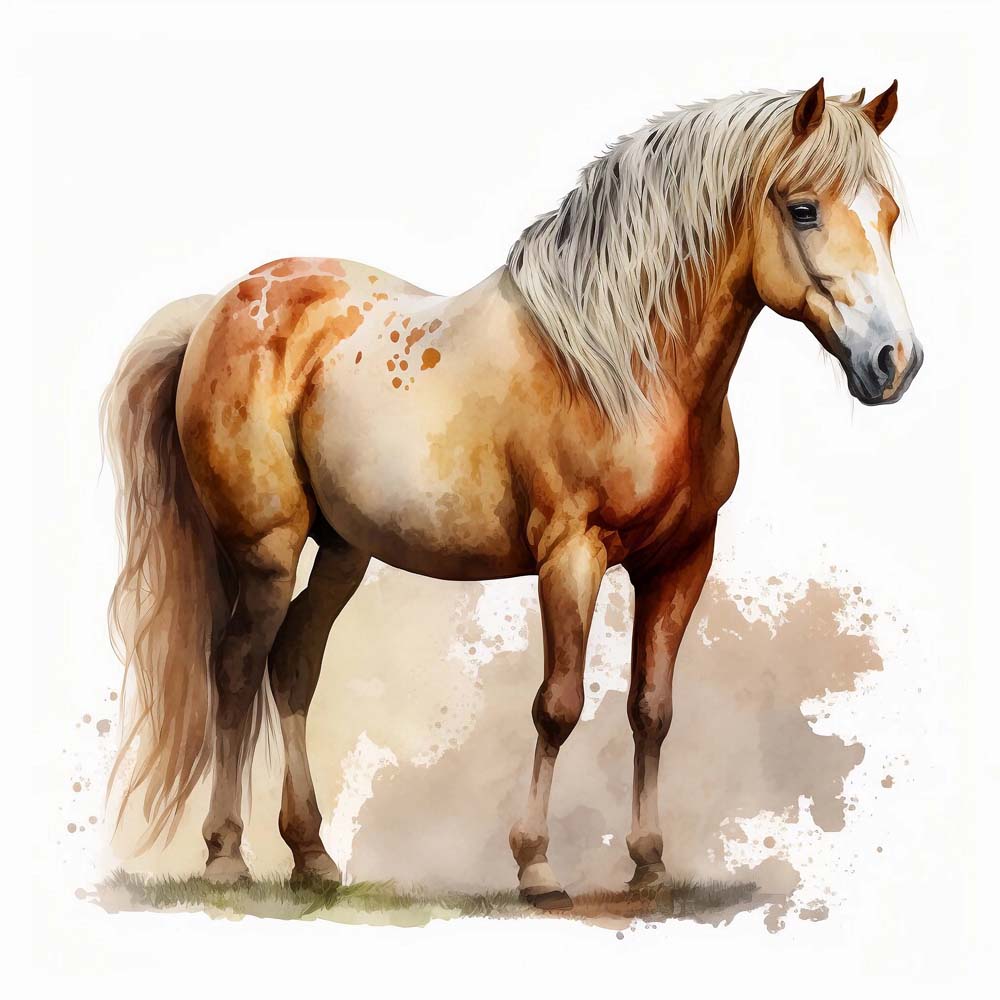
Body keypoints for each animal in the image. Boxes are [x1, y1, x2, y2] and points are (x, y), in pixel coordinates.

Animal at [102, 80, 922, 909]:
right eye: (804, 209)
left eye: (889, 214)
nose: (895, 362)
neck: (621, 362)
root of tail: (217, 309)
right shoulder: (571, 554)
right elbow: (558, 707)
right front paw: (536, 867)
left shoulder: (682, 561)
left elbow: (651, 711)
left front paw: (650, 863)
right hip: (266, 549)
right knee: (237, 667)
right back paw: (226, 857)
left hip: (341, 550)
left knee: (294, 663)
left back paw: (312, 857)